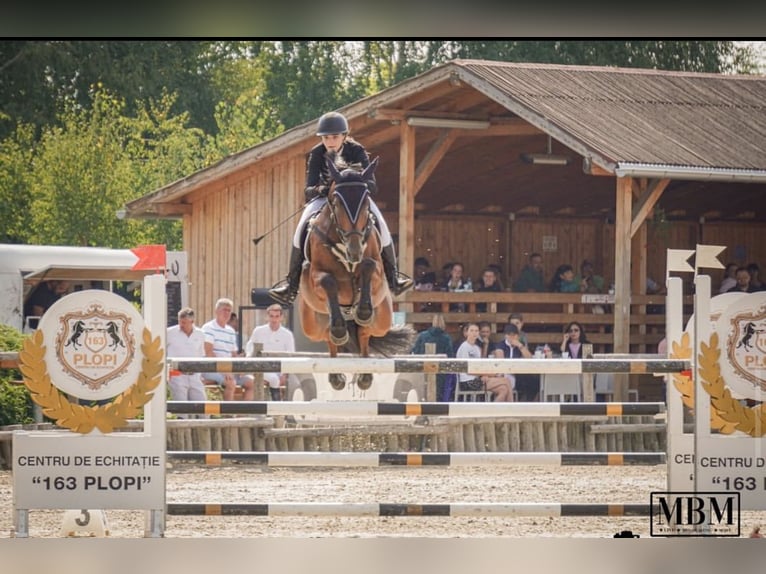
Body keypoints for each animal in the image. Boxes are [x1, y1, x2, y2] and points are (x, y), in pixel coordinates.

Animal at [298, 158, 414, 392]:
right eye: (336, 202)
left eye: (366, 200)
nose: (354, 251)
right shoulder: (315, 275)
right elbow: (328, 281)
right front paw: (340, 329)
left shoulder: (376, 270)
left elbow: (369, 266)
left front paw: (363, 310)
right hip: (312, 324)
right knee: (329, 337)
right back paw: (336, 371)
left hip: (383, 320)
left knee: (364, 335)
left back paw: (365, 375)